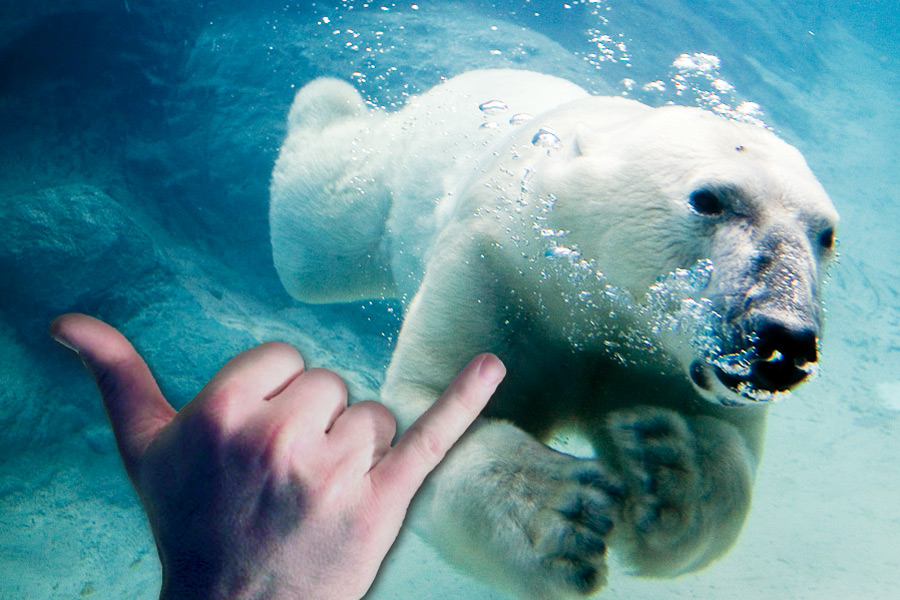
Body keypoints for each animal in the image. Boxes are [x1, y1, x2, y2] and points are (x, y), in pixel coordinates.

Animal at [270, 71, 840, 600]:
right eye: (708, 200)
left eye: (827, 234)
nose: (785, 340)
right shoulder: (499, 271)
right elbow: (433, 402)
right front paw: (564, 514)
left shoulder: (667, 363)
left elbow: (725, 454)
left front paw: (667, 463)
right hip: (394, 173)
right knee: (318, 236)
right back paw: (326, 100)